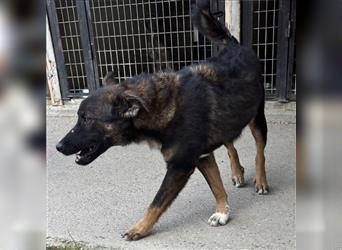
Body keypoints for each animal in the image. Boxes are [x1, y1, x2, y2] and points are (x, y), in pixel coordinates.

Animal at [56, 0, 270, 242]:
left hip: (256, 118)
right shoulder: (202, 156)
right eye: (79, 117)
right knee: (230, 144)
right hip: (229, 120)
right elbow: (216, 186)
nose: (58, 146)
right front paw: (222, 211)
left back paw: (261, 180)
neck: (160, 107)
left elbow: (156, 203)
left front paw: (139, 228)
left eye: (87, 119)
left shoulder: (180, 166)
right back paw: (237, 172)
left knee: (260, 151)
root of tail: (234, 45)